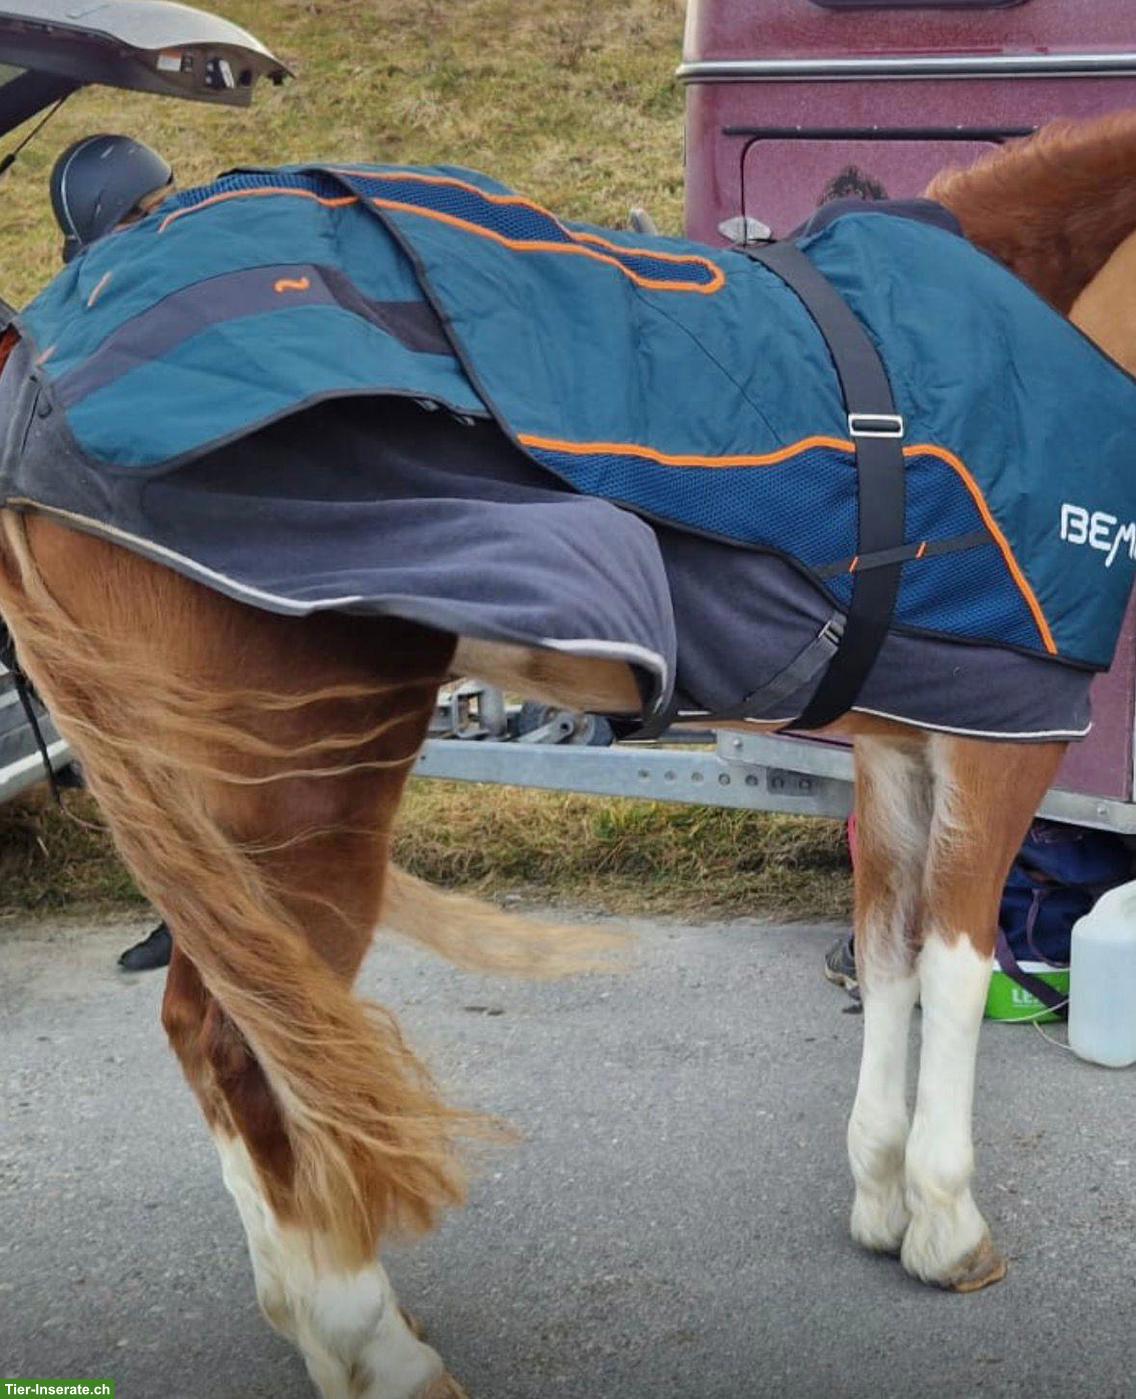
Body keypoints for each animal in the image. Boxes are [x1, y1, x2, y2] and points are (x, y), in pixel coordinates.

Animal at [3, 110, 1136, 1398]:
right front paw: (945, 1224)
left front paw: (880, 1198)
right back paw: (372, 1339)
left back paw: (309, 1317)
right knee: (244, 1046)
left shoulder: (907, 743)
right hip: (302, 807)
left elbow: (886, 951)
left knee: (215, 1040)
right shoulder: (1007, 735)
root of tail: (41, 372)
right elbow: (952, 958)